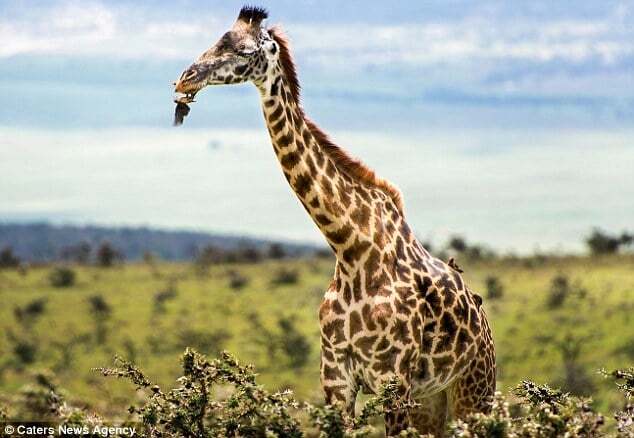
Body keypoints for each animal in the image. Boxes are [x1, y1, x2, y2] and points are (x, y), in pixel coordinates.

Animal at [174, 6, 494, 434]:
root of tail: (484, 323)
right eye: (217, 38)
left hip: (474, 392)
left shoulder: (396, 379)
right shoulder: (336, 377)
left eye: (242, 51)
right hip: (432, 399)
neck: (350, 247)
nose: (186, 78)